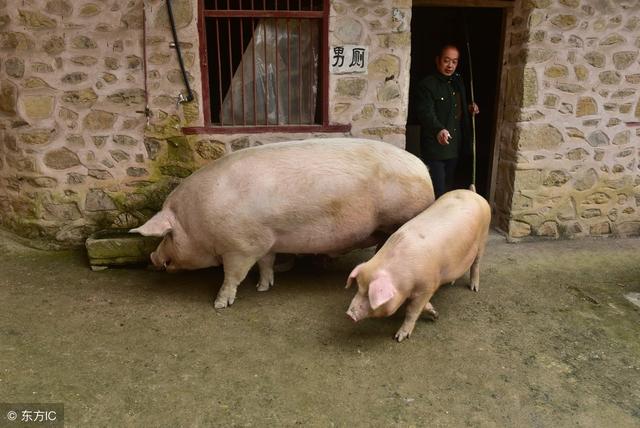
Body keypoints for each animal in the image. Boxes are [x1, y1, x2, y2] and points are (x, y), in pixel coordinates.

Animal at [129, 139, 436, 310]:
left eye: (168, 235)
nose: (152, 256)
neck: (196, 222)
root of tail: (423, 168)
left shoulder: (240, 248)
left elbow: (232, 277)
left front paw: (219, 305)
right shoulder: (266, 240)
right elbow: (266, 264)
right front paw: (264, 288)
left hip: (400, 216)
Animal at [344, 189, 490, 342]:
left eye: (369, 294)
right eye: (359, 288)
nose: (349, 314)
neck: (404, 283)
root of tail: (474, 193)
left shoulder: (428, 286)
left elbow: (412, 310)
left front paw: (399, 337)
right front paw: (435, 314)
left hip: (483, 237)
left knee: (476, 264)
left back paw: (474, 289)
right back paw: (452, 282)